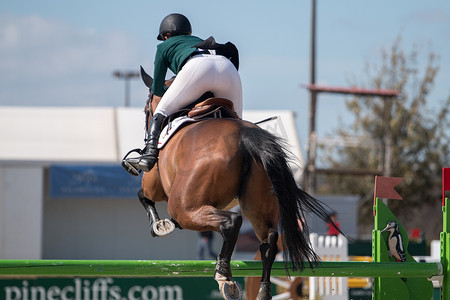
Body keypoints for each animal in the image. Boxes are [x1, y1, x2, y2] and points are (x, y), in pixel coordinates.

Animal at [125, 67, 340, 298]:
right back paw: (263, 291)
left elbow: (143, 196)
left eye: (146, 109)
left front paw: (159, 226)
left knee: (231, 222)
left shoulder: (154, 185)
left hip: (183, 206)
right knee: (270, 240)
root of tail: (245, 136)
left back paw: (224, 277)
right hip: (258, 204)